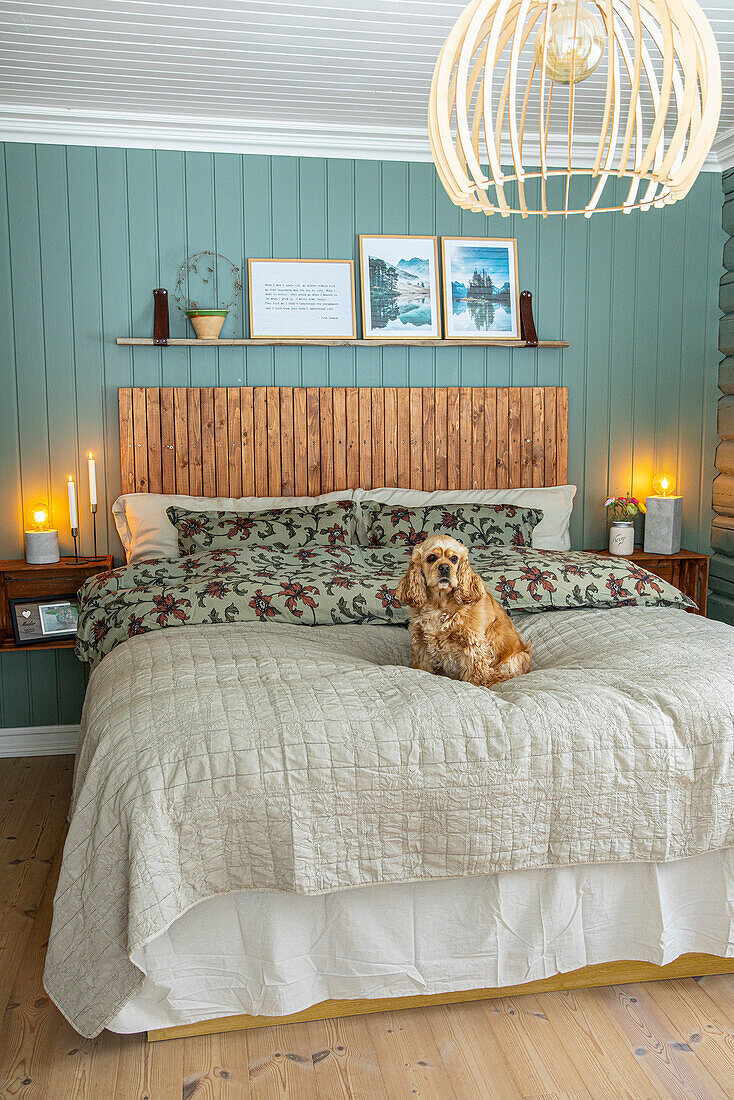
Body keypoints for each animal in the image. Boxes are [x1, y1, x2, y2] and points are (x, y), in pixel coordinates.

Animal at [398, 534, 530, 686]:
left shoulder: (472, 643)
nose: (444, 567)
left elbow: (476, 675)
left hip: (515, 658)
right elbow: (422, 667)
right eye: (431, 557)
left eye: (454, 559)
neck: (439, 604)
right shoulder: (420, 641)